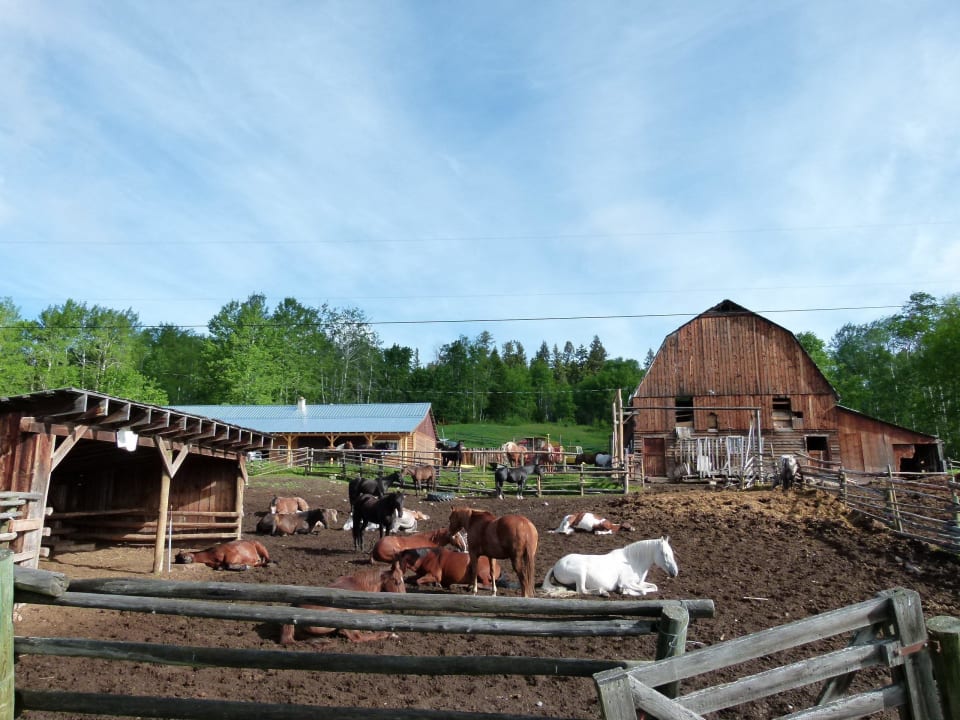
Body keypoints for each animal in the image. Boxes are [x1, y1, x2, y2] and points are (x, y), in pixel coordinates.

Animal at [541, 536, 678, 597]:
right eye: (664, 554)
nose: (674, 573)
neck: (632, 562)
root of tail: (556, 565)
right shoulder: (626, 582)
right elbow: (643, 591)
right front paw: (625, 591)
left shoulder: (638, 583)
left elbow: (654, 587)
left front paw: (623, 591)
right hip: (580, 573)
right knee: (582, 590)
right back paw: (603, 592)